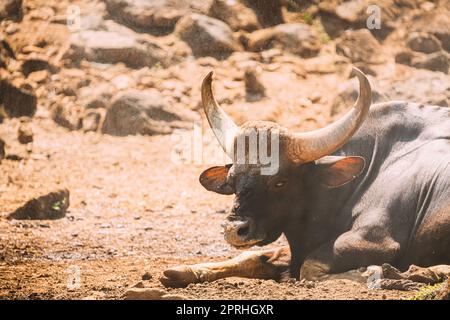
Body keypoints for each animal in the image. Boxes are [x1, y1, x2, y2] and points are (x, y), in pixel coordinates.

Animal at [162, 68, 450, 290]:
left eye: (279, 182)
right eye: (232, 181)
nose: (235, 230)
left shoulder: (377, 239)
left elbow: (309, 267)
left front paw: (381, 273)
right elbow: (254, 257)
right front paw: (184, 272)